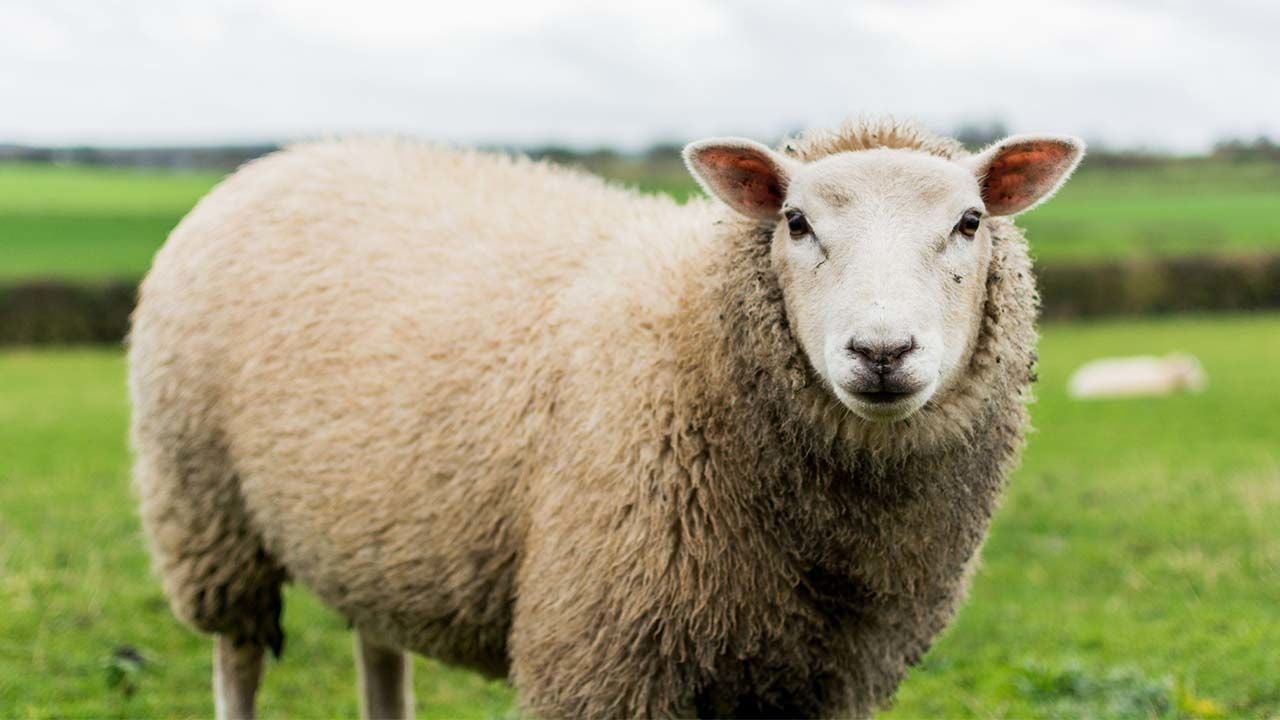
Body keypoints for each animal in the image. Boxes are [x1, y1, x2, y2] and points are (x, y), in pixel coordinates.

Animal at [129, 119, 1085, 717]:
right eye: (795, 221)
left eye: (970, 221)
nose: (882, 351)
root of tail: (283, 158)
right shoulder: (603, 652)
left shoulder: (817, 677)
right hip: (206, 508)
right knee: (237, 656)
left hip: (370, 529)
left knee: (378, 649)